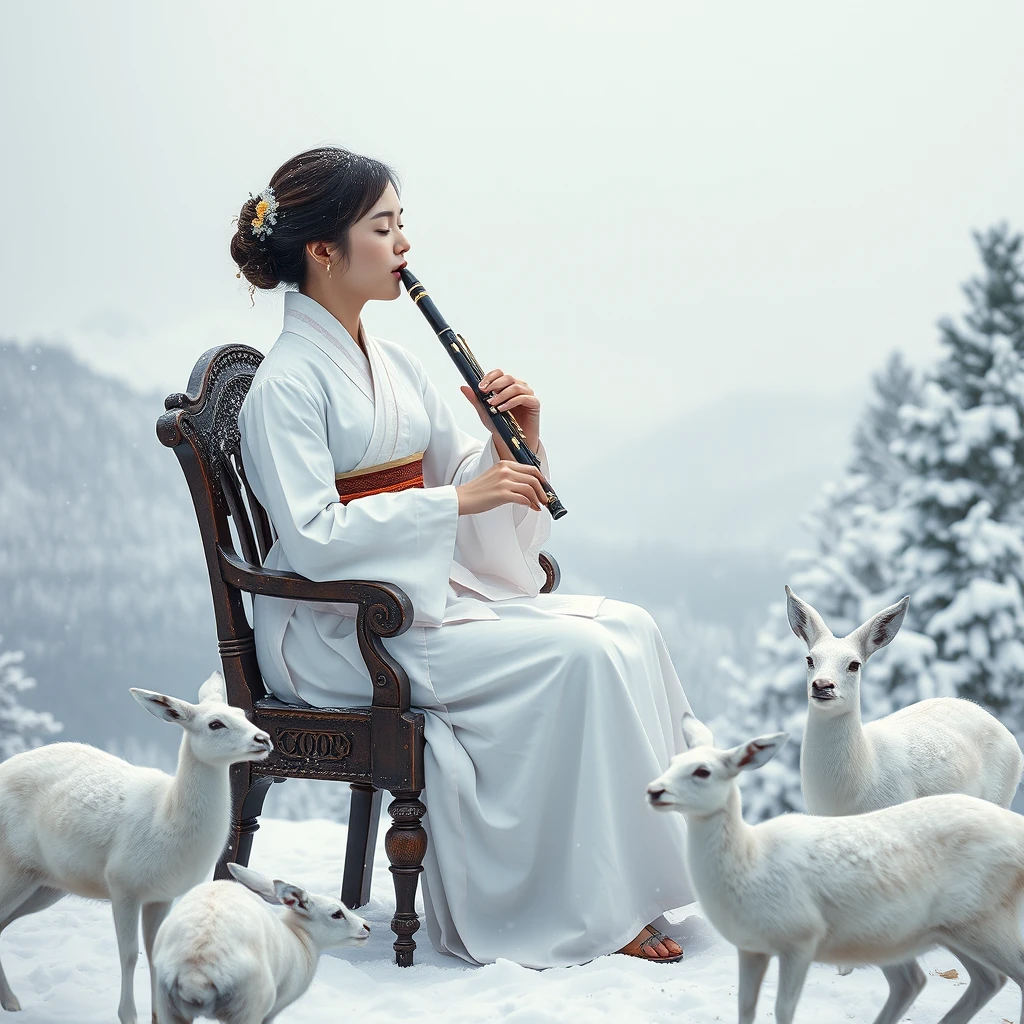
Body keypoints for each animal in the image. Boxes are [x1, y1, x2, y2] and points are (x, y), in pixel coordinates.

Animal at [0, 671, 272, 1024]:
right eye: (215, 724)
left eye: (242, 713)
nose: (263, 739)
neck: (166, 817)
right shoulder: (122, 884)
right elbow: (129, 954)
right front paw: (128, 1015)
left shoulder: (161, 895)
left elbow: (156, 955)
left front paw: (159, 1015)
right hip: (12, 867)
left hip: (46, 886)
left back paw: (10, 1002)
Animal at [153, 864, 370, 1024]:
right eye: (337, 914)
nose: (366, 927)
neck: (300, 938)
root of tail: (196, 973)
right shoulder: (271, 1011)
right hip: (248, 1009)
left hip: (168, 1009)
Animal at [651, 716, 1024, 1024]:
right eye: (670, 764)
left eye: (703, 771)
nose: (654, 790)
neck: (750, 860)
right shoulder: (751, 947)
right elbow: (745, 1006)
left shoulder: (800, 938)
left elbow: (784, 1008)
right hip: (930, 930)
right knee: (965, 981)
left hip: (981, 921)